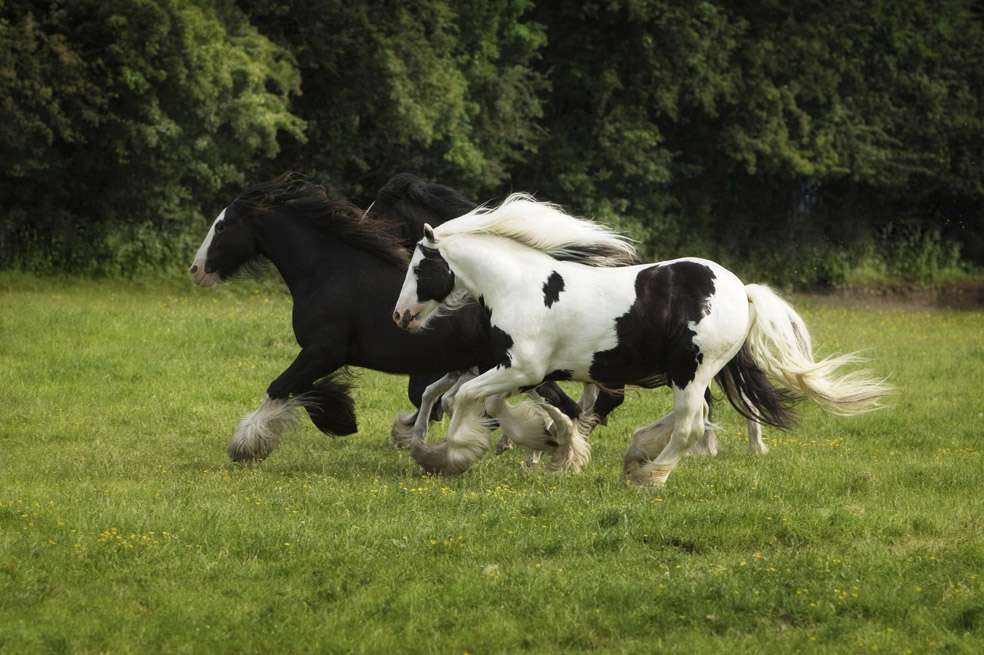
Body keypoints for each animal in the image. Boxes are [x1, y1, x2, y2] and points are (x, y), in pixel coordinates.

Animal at [188, 174, 591, 466]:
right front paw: (345, 419)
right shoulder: (322, 355)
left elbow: (279, 387)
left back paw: (549, 452)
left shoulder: (322, 351)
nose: (196, 269)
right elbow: (303, 390)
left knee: (565, 405)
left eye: (222, 227)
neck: (326, 271)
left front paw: (245, 445)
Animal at [391, 194, 892, 485]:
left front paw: (450, 455)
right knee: (693, 417)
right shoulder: (520, 372)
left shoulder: (520, 369)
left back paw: (649, 474)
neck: (521, 286)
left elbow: (465, 400)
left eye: (418, 267)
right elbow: (498, 405)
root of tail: (741, 290)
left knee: (691, 424)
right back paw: (638, 453)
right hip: (686, 373)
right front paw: (552, 445)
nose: (400, 315)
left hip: (692, 371)